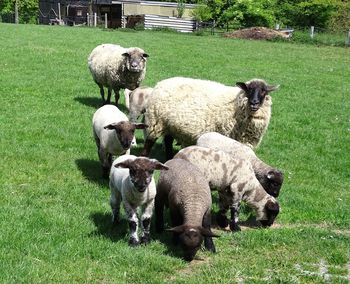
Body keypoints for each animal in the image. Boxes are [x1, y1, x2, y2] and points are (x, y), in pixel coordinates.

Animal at [140, 76, 278, 159]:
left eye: (264, 91)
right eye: (249, 90)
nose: (254, 103)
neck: (235, 105)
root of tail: (161, 83)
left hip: (170, 125)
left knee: (168, 141)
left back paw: (169, 157)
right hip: (155, 122)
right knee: (149, 142)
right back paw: (145, 157)